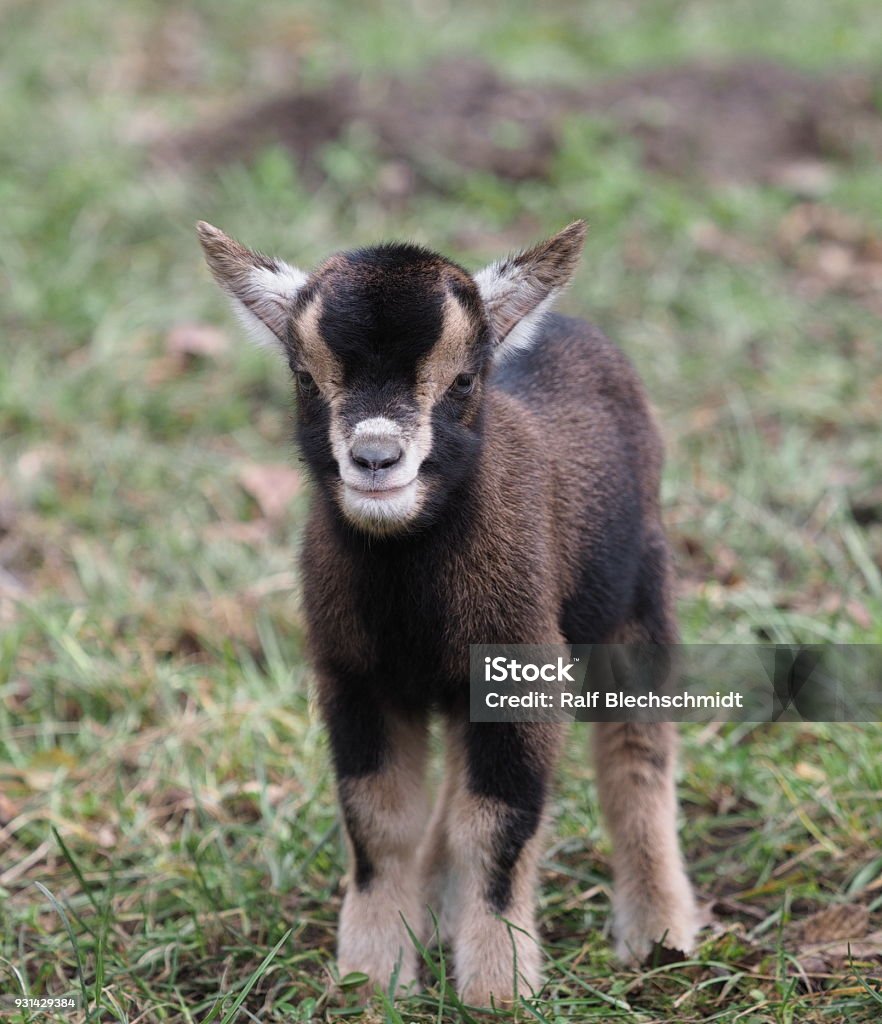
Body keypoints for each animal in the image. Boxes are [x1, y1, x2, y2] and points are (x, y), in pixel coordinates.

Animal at [197, 218, 696, 1007]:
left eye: (462, 379)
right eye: (305, 377)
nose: (375, 458)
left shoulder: (527, 671)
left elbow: (497, 826)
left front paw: (498, 986)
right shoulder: (356, 680)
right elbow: (379, 822)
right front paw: (371, 975)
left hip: (639, 598)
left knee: (636, 757)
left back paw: (658, 931)